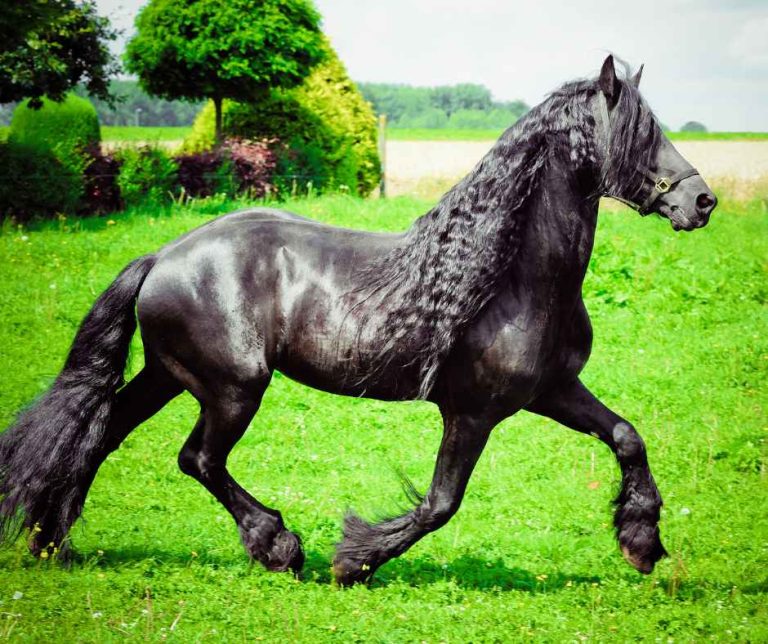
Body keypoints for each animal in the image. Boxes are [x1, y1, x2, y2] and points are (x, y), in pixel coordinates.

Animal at [0, 56, 717, 585]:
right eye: (641, 133)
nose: (702, 201)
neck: (512, 279)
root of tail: (163, 257)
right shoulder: (473, 412)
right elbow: (440, 504)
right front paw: (354, 562)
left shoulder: (552, 391)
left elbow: (626, 436)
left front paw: (641, 541)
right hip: (232, 388)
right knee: (197, 458)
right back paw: (279, 546)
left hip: (169, 375)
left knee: (100, 434)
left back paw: (49, 543)